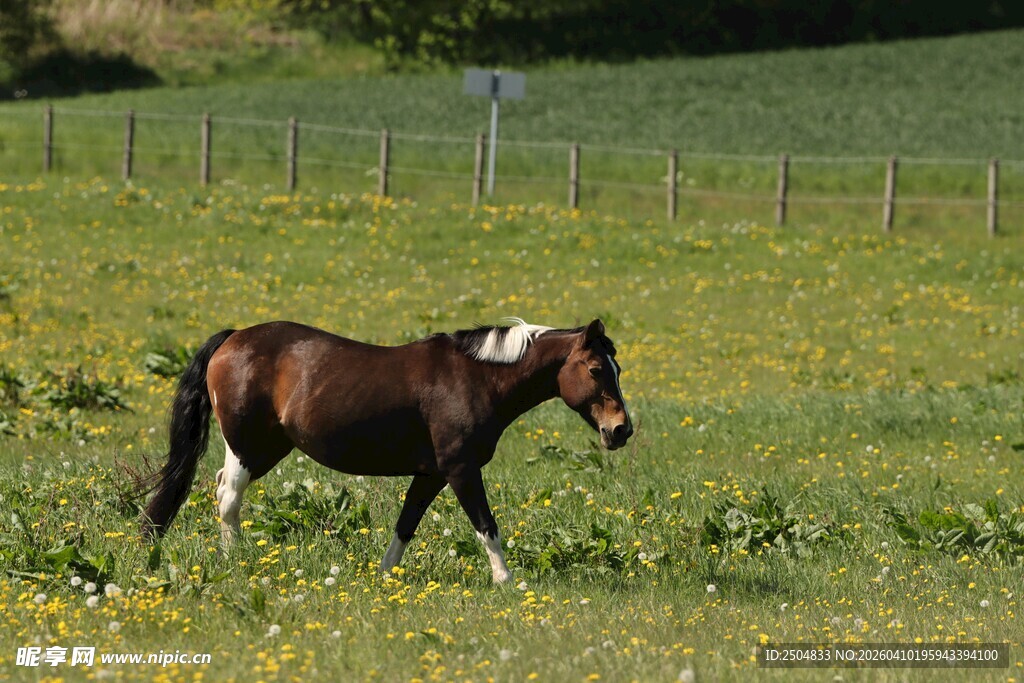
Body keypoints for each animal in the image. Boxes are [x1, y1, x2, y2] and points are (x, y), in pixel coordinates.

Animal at [139, 317, 632, 583]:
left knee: (222, 489)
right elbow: (486, 527)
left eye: (618, 368)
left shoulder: (431, 474)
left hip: (266, 447)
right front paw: (507, 581)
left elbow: (405, 526)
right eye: (595, 369)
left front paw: (383, 577)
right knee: (228, 497)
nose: (621, 430)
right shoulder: (461, 470)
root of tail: (234, 337)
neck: (478, 378)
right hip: (248, 446)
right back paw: (234, 559)